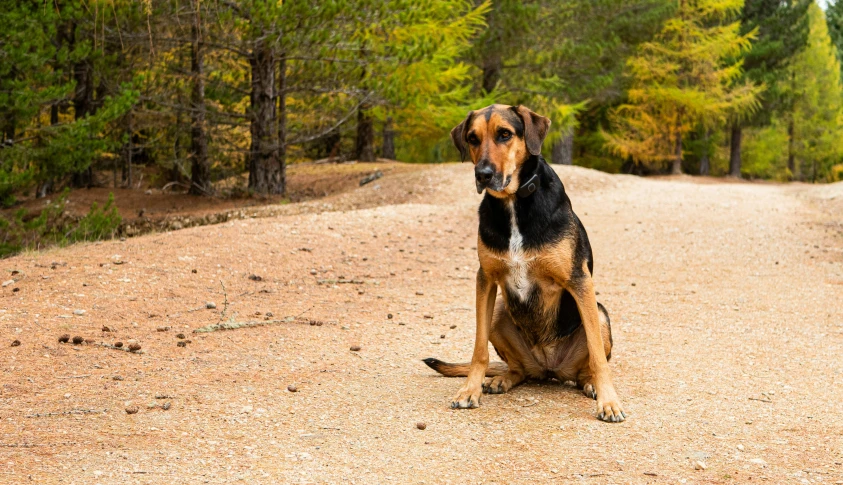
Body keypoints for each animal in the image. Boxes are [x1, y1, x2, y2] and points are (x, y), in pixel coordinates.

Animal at [422, 104, 628, 422]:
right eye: (472, 138)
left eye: (504, 134)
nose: (483, 174)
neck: (512, 204)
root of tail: (549, 367)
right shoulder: (485, 279)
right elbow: (479, 350)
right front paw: (469, 390)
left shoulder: (579, 281)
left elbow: (597, 355)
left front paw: (609, 401)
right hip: (499, 314)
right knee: (518, 369)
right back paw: (502, 378)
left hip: (600, 313)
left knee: (586, 369)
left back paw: (591, 385)